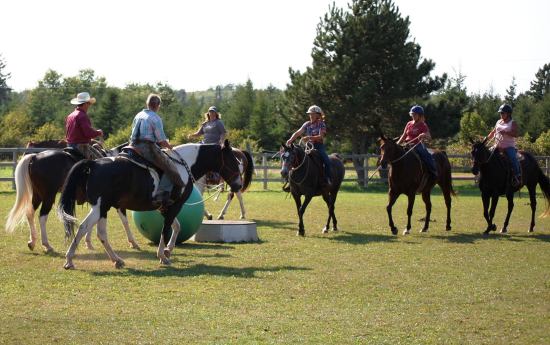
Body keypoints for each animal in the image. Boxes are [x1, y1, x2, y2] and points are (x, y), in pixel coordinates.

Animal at [5, 140, 135, 253]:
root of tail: (35, 157)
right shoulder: (115, 203)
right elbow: (124, 220)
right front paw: (133, 242)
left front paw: (88, 243)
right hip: (48, 196)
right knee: (42, 217)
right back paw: (46, 245)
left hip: (38, 195)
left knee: (30, 212)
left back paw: (32, 242)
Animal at [57, 140, 244, 268]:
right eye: (233, 160)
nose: (238, 185)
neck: (183, 165)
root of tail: (94, 163)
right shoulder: (175, 205)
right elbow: (166, 229)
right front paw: (162, 255)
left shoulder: (165, 207)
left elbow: (176, 227)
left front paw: (168, 250)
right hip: (100, 207)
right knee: (85, 227)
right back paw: (70, 259)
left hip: (103, 208)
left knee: (99, 233)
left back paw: (115, 260)